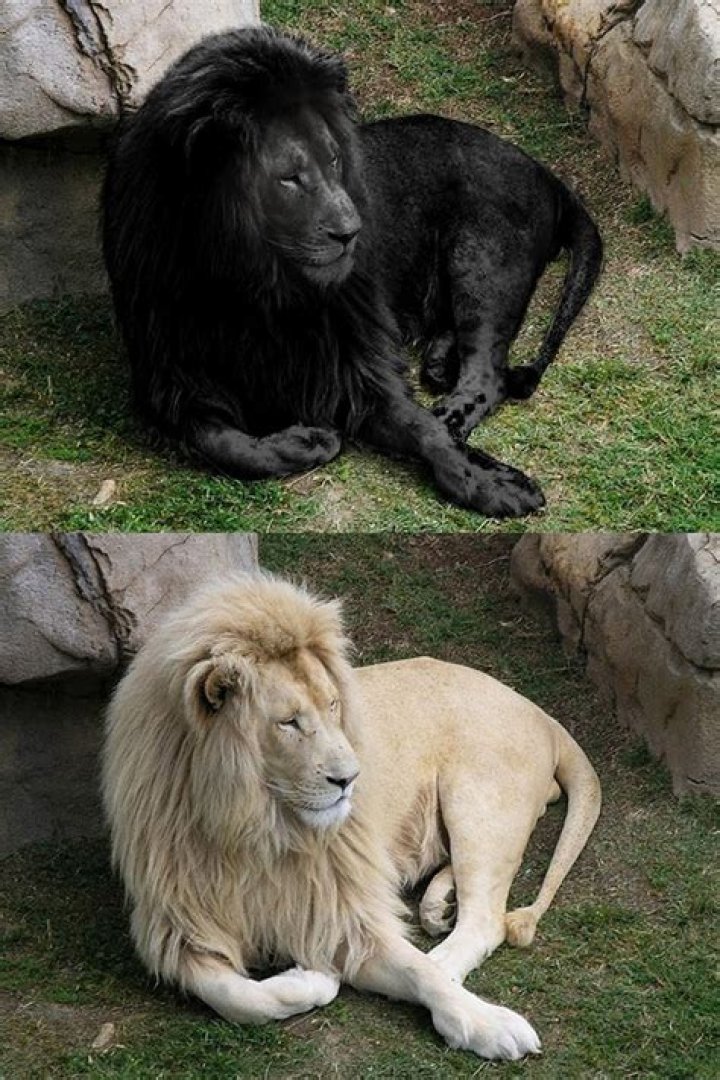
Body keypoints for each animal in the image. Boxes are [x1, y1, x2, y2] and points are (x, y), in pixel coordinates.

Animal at [101, 26, 602, 519]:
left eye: (335, 160)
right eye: (289, 178)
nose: (352, 232)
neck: (256, 289)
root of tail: (545, 172)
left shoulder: (355, 365)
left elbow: (424, 431)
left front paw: (491, 483)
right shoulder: (172, 378)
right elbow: (223, 443)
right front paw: (308, 442)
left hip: (484, 261)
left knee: (489, 375)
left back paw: (450, 412)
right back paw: (438, 362)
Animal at [102, 573, 601, 1061]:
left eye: (333, 706)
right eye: (288, 721)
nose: (350, 779)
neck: (255, 829)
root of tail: (537, 710)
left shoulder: (342, 912)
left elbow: (415, 969)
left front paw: (485, 1023)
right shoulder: (181, 927)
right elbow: (235, 997)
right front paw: (311, 980)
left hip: (478, 802)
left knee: (484, 921)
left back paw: (442, 954)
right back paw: (437, 904)